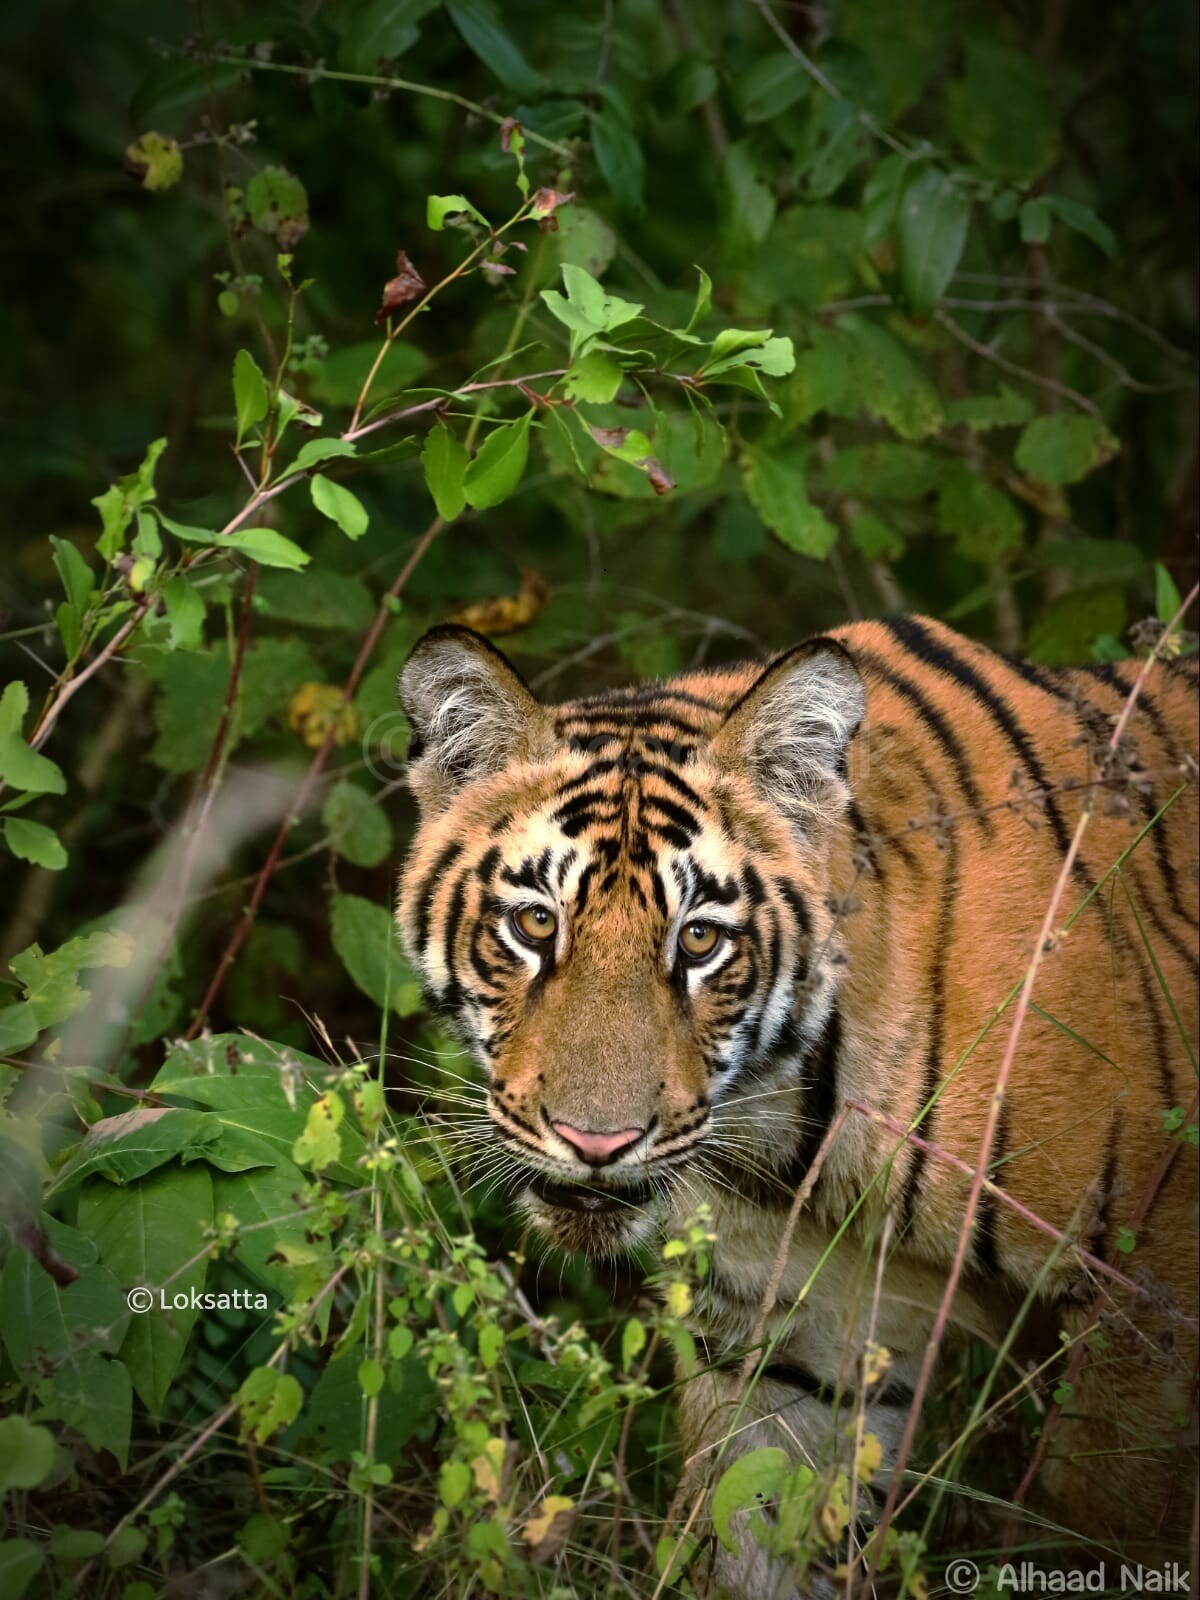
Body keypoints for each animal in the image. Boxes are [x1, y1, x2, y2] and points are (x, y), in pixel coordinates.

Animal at [400, 608, 1196, 1587]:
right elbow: (753, 1528)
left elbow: (1109, 1519)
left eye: (699, 940)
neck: (795, 1132)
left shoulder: (1154, 1305)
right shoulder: (792, 1341)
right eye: (535, 923)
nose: (597, 1143)